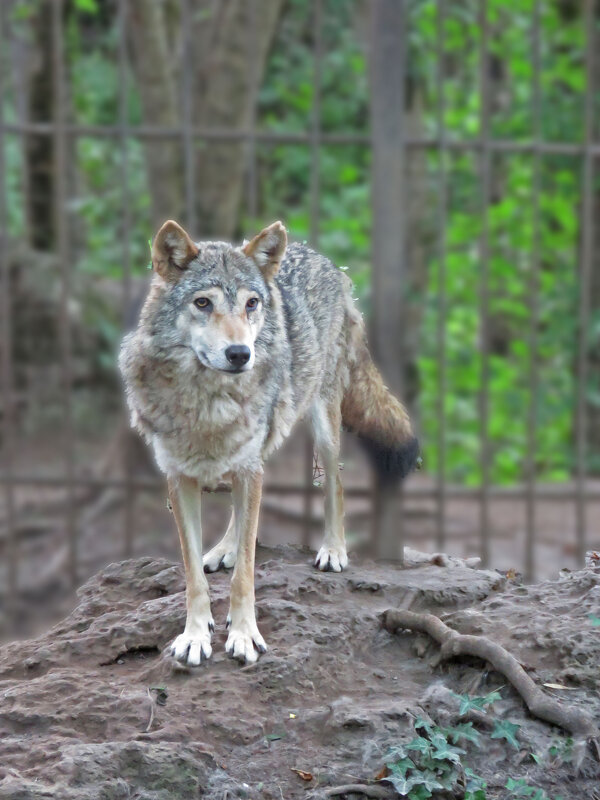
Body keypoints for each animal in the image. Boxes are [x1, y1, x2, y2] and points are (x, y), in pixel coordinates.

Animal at [117, 219, 418, 664]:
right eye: (203, 303)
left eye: (251, 304)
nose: (240, 353)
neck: (208, 403)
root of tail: (323, 259)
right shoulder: (180, 477)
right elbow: (193, 575)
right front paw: (195, 635)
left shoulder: (247, 466)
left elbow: (246, 572)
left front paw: (243, 635)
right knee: (242, 512)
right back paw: (222, 548)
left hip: (322, 422)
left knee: (335, 483)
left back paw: (333, 549)